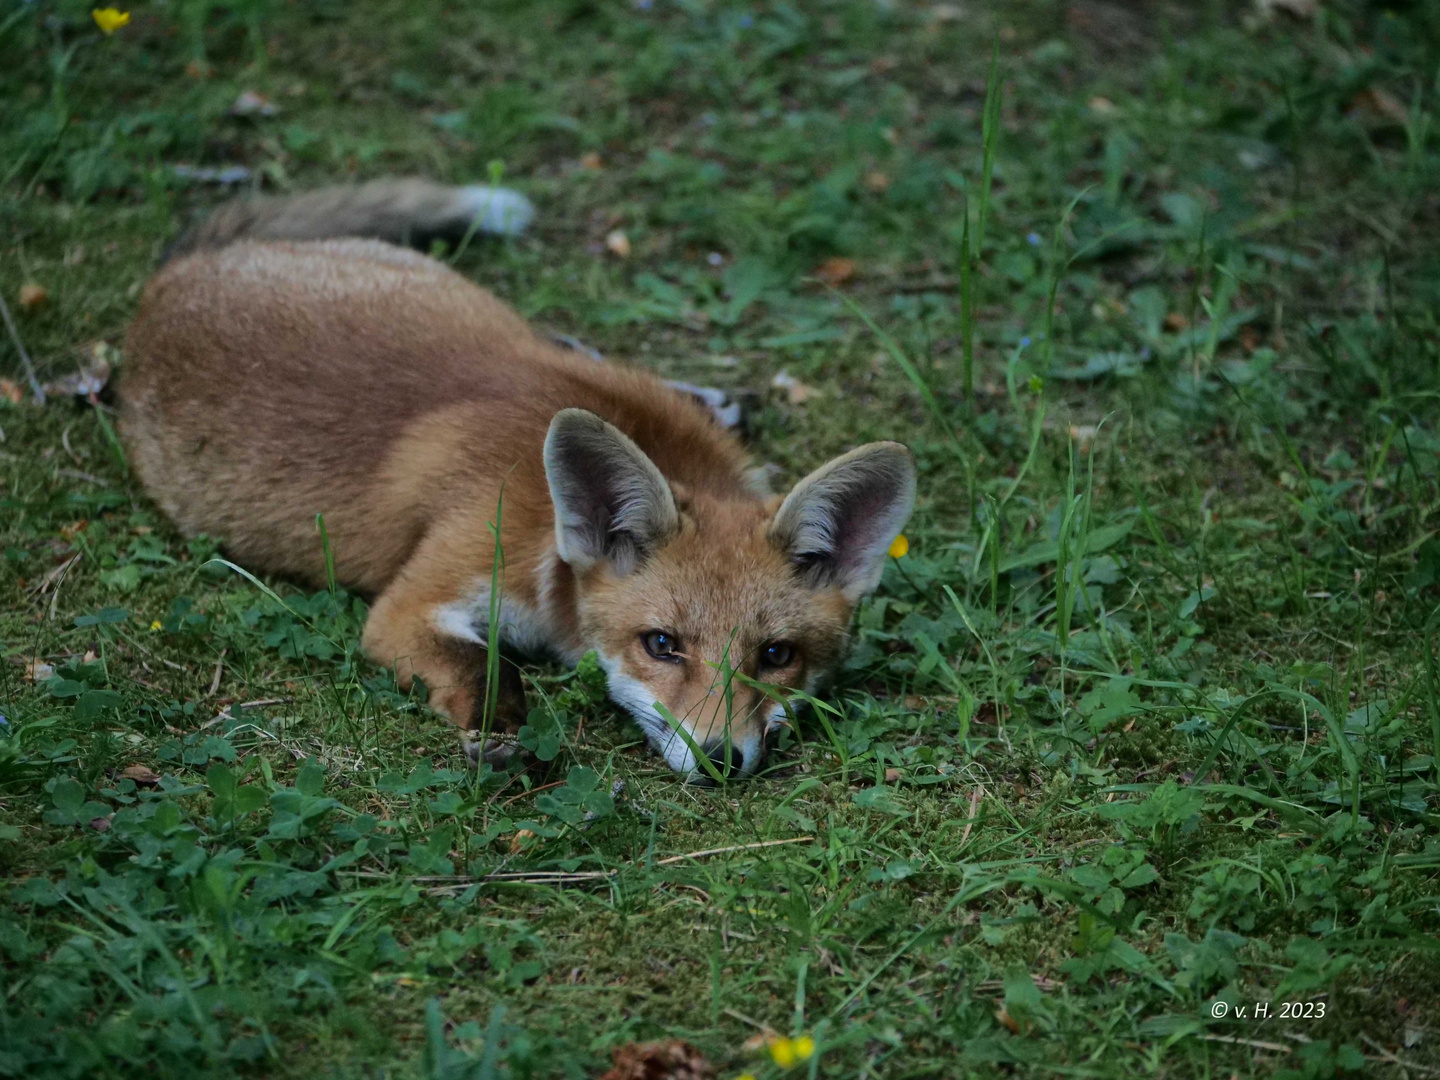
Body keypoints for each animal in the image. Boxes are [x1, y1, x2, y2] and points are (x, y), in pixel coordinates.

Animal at [118, 182, 915, 783]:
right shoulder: (415, 599)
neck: (547, 532)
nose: (720, 759)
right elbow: (486, 664)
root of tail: (165, 283)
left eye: (776, 656)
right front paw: (500, 737)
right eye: (661, 645)